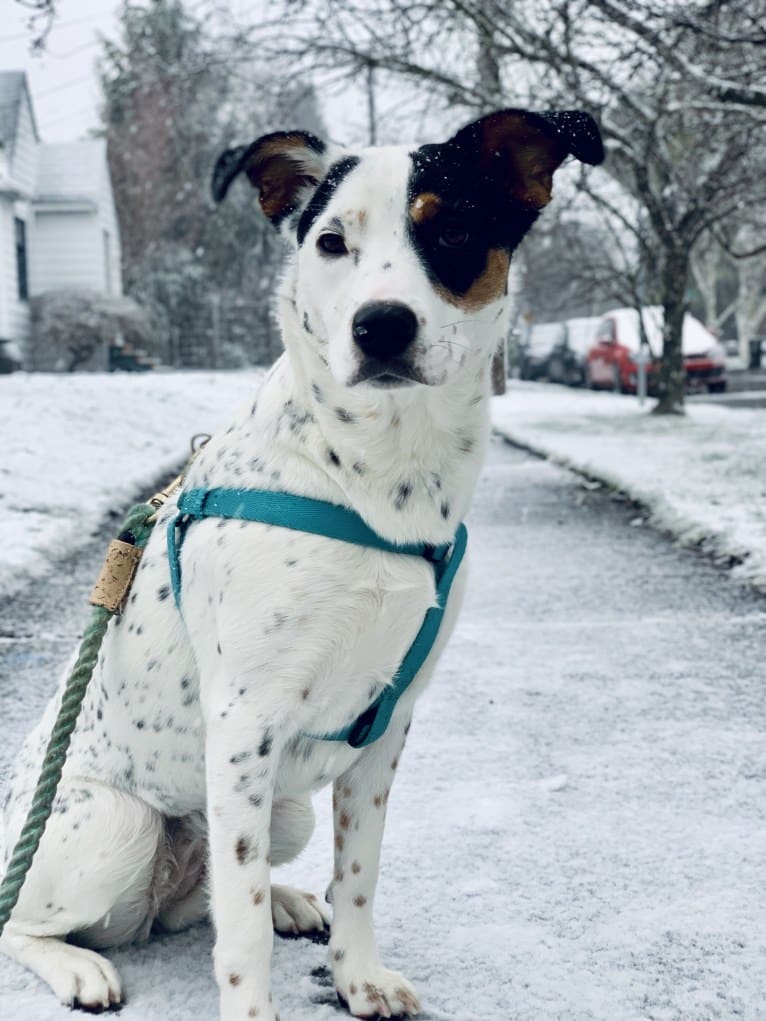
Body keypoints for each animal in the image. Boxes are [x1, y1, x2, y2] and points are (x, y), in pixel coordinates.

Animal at [1, 107, 604, 1016]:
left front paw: (357, 974)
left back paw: (286, 898)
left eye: (453, 230)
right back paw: (79, 965)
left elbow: (358, 873)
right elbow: (239, 928)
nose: (380, 325)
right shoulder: (246, 721)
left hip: (282, 810)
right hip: (117, 821)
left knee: (205, 895)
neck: (380, 480)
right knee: (32, 922)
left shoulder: (387, 725)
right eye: (330, 242)